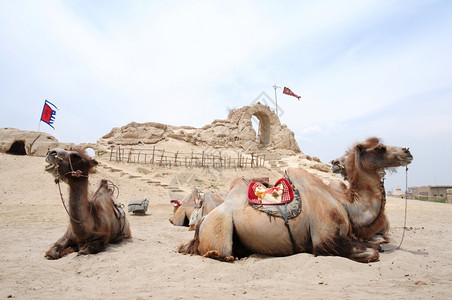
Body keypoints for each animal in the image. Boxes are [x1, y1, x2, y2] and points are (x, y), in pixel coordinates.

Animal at [179, 138, 414, 262]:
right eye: (380, 148)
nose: (407, 151)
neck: (345, 204)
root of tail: (201, 222)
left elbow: (376, 245)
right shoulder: (325, 240)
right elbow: (372, 252)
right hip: (219, 230)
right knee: (223, 253)